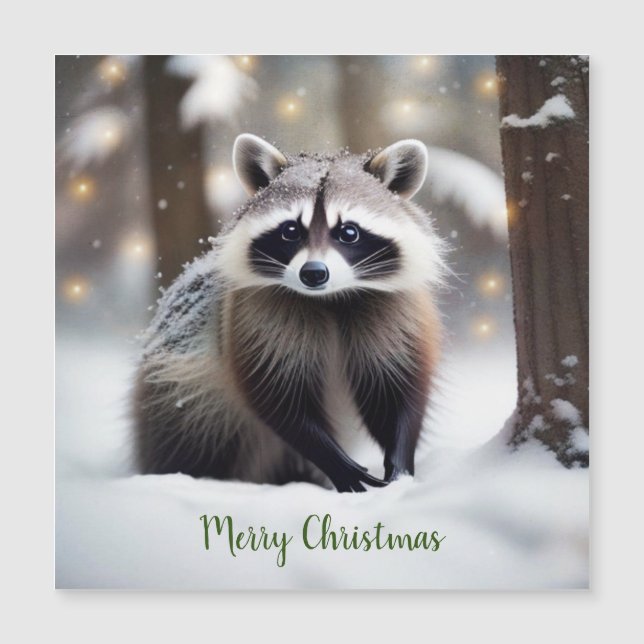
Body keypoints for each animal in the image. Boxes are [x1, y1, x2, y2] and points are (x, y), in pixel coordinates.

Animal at [133, 134, 446, 492]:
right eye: (291, 231)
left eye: (349, 232)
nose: (314, 273)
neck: (329, 299)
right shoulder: (253, 315)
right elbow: (278, 398)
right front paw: (333, 460)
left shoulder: (394, 309)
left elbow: (395, 390)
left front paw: (400, 460)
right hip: (182, 402)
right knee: (189, 442)